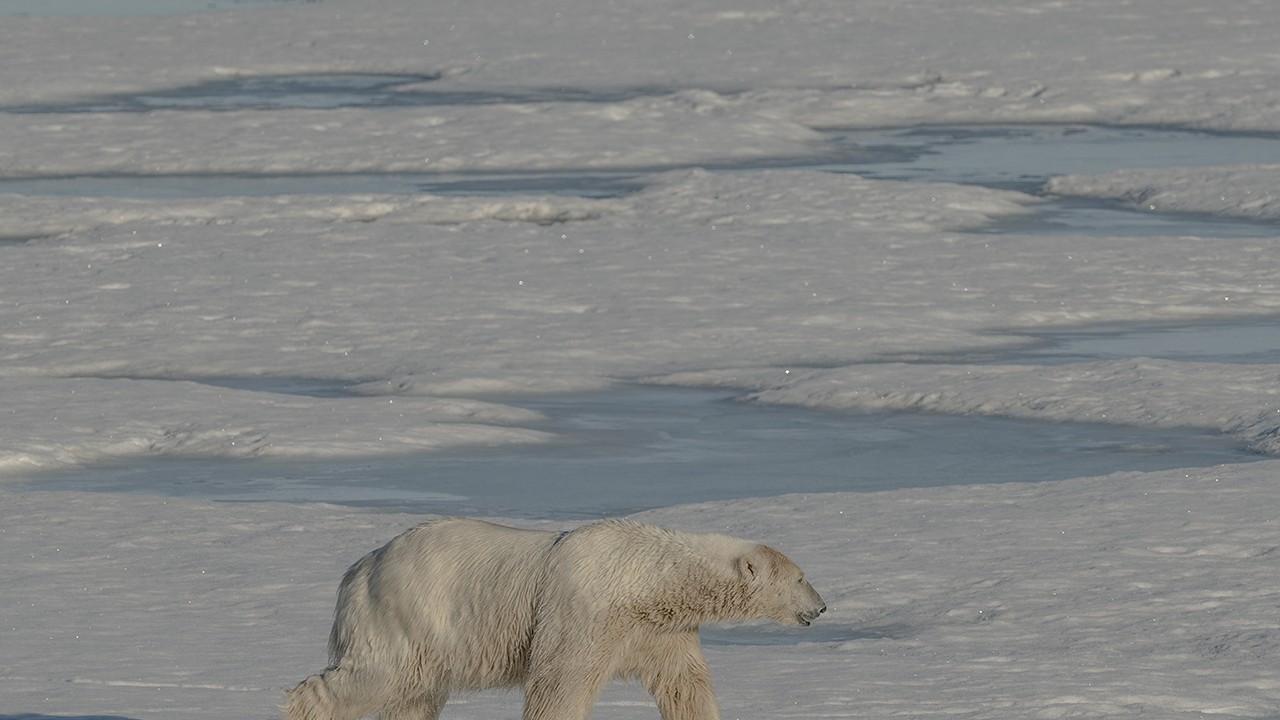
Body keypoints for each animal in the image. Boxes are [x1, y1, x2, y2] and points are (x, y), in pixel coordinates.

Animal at [284, 515, 824, 717]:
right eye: (801, 577)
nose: (821, 606)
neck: (644, 575)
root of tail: (359, 569)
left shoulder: (657, 629)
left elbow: (684, 681)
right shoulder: (583, 610)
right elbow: (560, 681)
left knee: (414, 695)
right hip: (407, 614)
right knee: (376, 676)